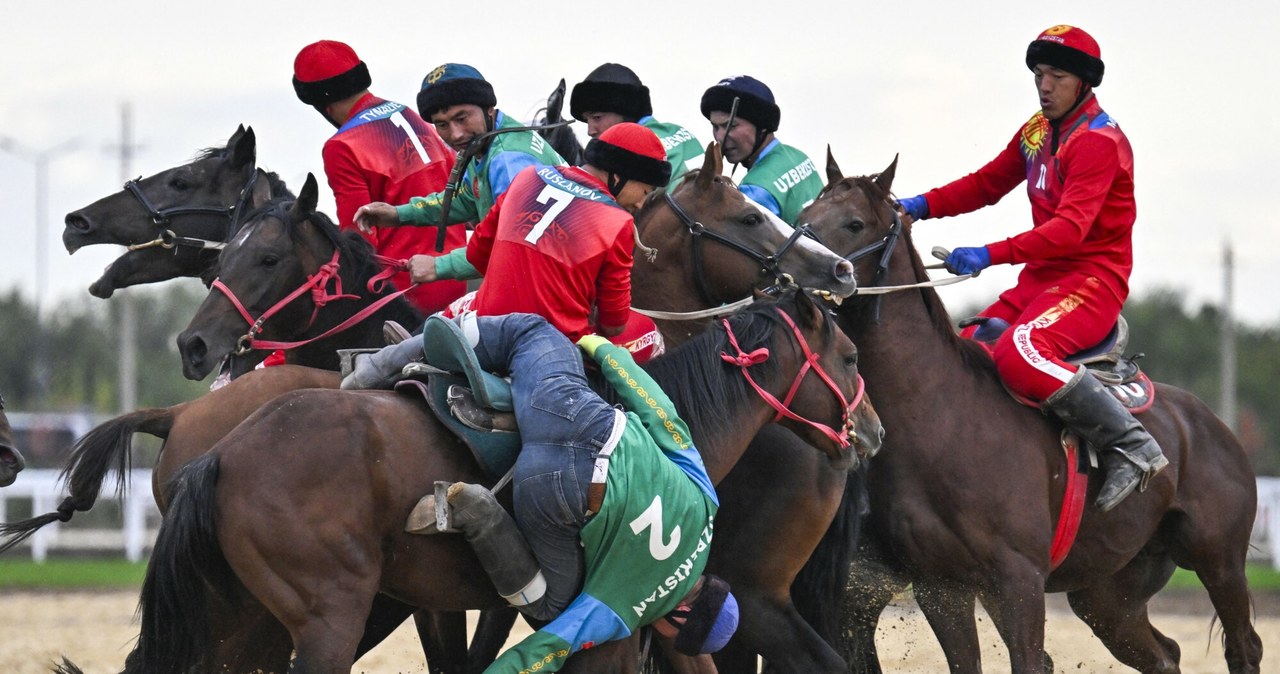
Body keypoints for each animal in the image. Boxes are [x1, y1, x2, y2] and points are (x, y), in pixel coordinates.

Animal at [107, 287, 870, 674]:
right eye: (851, 356)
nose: (871, 430)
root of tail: (221, 453)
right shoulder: (617, 618)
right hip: (326, 617)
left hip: (242, 616)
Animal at [798, 154, 1259, 674]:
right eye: (807, 213)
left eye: (854, 223)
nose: (791, 269)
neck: (943, 416)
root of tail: (1208, 424)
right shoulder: (942, 587)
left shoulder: (1019, 581)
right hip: (1107, 595)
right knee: (1165, 654)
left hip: (1219, 561)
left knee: (1243, 647)